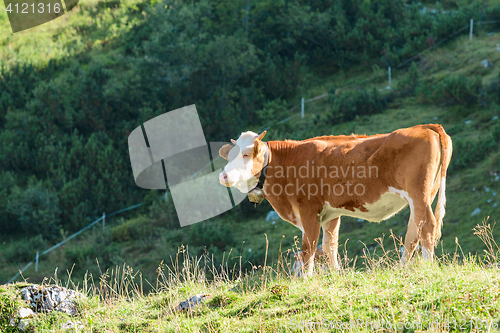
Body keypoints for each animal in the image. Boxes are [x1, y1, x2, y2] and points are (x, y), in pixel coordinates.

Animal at [219, 124, 454, 274]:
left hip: (418, 193)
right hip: (424, 195)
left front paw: (307, 279)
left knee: (428, 226)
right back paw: (402, 267)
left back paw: (427, 266)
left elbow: (309, 247)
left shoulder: (308, 210)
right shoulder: (330, 213)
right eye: (229, 157)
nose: (223, 176)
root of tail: (425, 126)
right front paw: (334, 274)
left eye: (246, 154)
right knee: (414, 231)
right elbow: (329, 245)